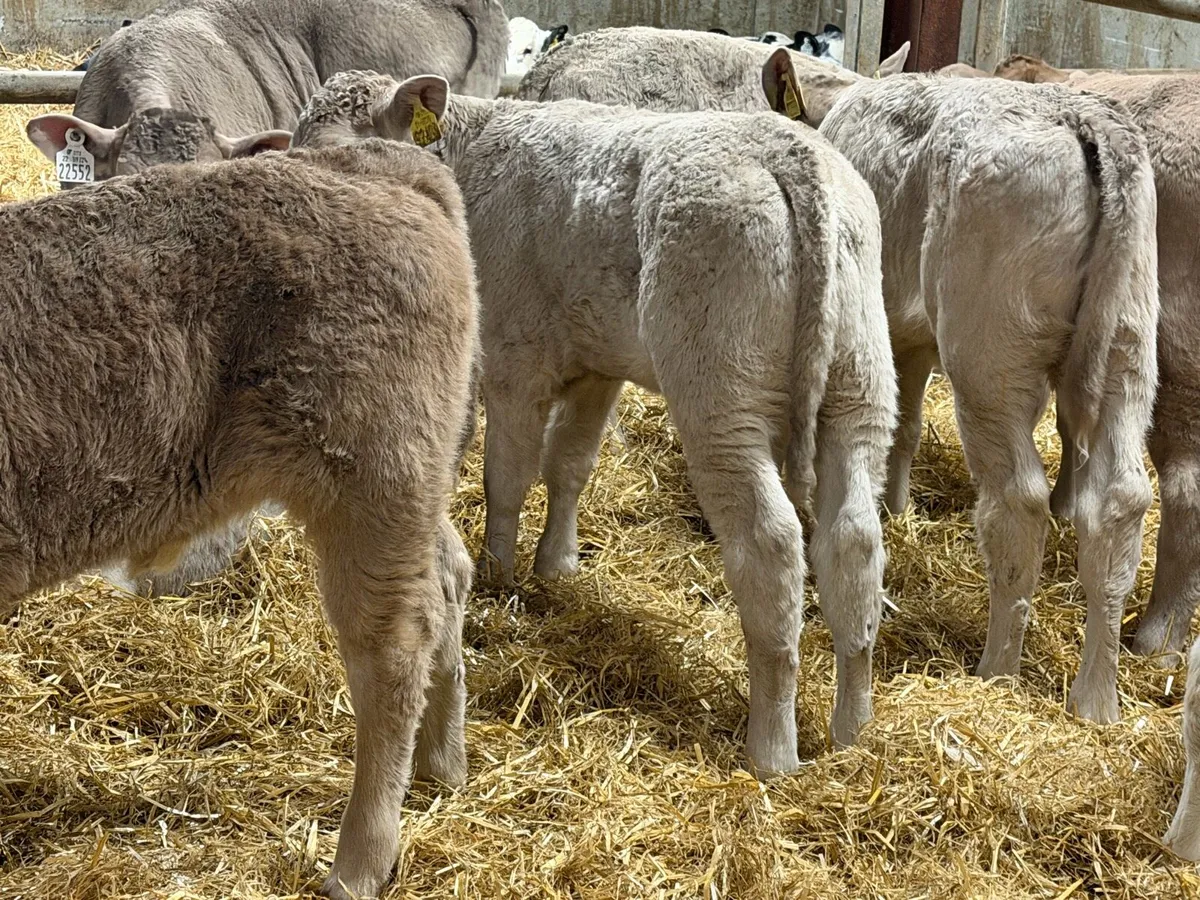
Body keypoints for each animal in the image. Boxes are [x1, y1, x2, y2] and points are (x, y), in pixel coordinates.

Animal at [0, 140, 479, 900]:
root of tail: (363, 160)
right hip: (411, 488)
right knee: (451, 578)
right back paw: (442, 764)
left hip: (372, 480)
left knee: (394, 646)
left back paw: (360, 861)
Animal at [283, 69, 899, 775]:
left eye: (339, 151)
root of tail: (793, 153)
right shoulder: (597, 364)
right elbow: (569, 463)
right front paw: (558, 565)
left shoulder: (511, 355)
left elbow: (508, 475)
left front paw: (499, 575)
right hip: (860, 387)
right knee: (854, 541)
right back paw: (853, 730)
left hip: (721, 399)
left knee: (770, 544)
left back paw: (771, 748)